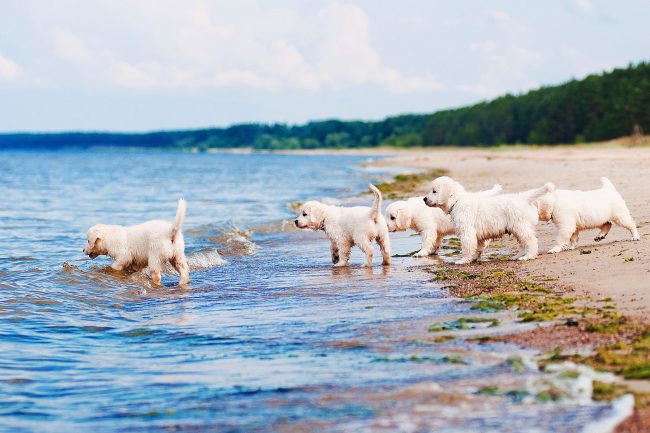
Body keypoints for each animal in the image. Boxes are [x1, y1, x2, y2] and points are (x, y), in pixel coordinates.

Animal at [422, 176, 556, 264]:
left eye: (434, 191)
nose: (424, 199)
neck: (457, 201)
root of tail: (522, 198)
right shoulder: (478, 234)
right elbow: (478, 247)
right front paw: (474, 258)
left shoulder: (467, 231)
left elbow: (467, 246)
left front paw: (463, 260)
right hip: (518, 228)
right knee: (523, 244)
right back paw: (516, 256)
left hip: (520, 226)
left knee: (531, 241)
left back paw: (528, 256)